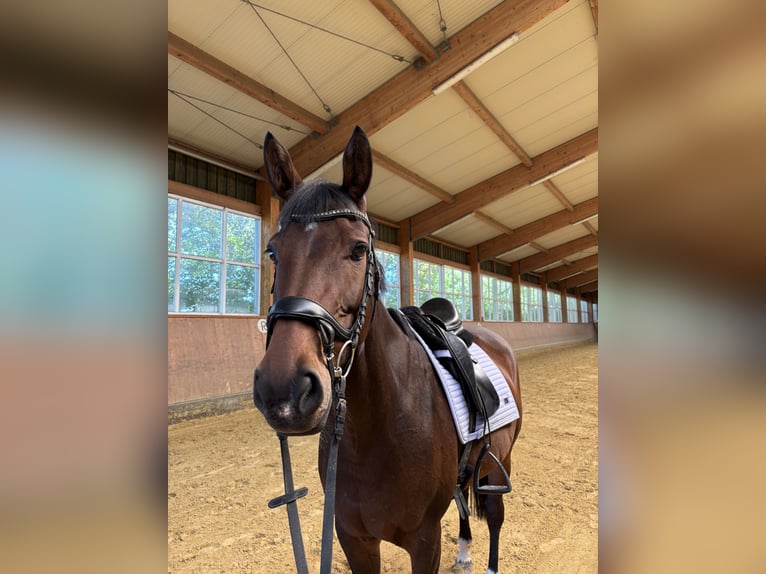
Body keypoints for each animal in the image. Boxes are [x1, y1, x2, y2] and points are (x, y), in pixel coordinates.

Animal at [253, 126, 522, 574]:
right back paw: (465, 549)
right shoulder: (353, 538)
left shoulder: (425, 542)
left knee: (496, 517)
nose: (284, 391)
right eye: (272, 251)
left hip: (497, 466)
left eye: (359, 249)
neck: (378, 428)